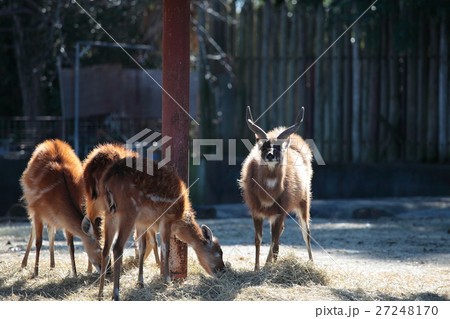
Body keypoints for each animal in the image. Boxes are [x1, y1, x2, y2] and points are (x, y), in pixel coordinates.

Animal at [20, 140, 101, 278]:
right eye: (99, 248)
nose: (109, 270)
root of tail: (51, 141)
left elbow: (71, 244)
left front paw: (75, 272)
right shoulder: (38, 211)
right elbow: (39, 241)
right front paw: (35, 273)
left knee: (50, 229)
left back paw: (52, 264)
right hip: (31, 205)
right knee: (33, 230)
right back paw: (24, 264)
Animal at [98, 159, 225, 302]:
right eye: (219, 252)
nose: (223, 270)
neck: (179, 220)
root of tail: (108, 177)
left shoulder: (142, 223)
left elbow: (142, 248)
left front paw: (140, 282)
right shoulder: (166, 221)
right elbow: (165, 248)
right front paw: (167, 280)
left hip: (108, 212)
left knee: (105, 249)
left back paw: (100, 294)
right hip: (128, 211)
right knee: (117, 248)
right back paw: (115, 294)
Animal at [239, 107, 312, 270]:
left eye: (278, 147)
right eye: (264, 146)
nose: (270, 155)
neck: (268, 194)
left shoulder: (280, 211)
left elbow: (277, 244)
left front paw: (272, 268)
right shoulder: (256, 212)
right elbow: (258, 240)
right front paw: (257, 268)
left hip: (304, 201)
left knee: (306, 232)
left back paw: (311, 264)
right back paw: (267, 264)